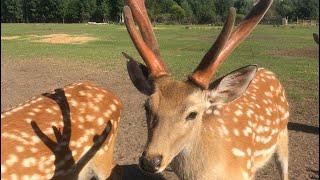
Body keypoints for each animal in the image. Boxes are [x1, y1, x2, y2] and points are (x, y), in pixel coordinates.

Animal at [122, 0, 290, 180]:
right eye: (146, 107)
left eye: (192, 114)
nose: (150, 161)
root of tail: (268, 71)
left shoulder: (247, 172)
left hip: (283, 136)